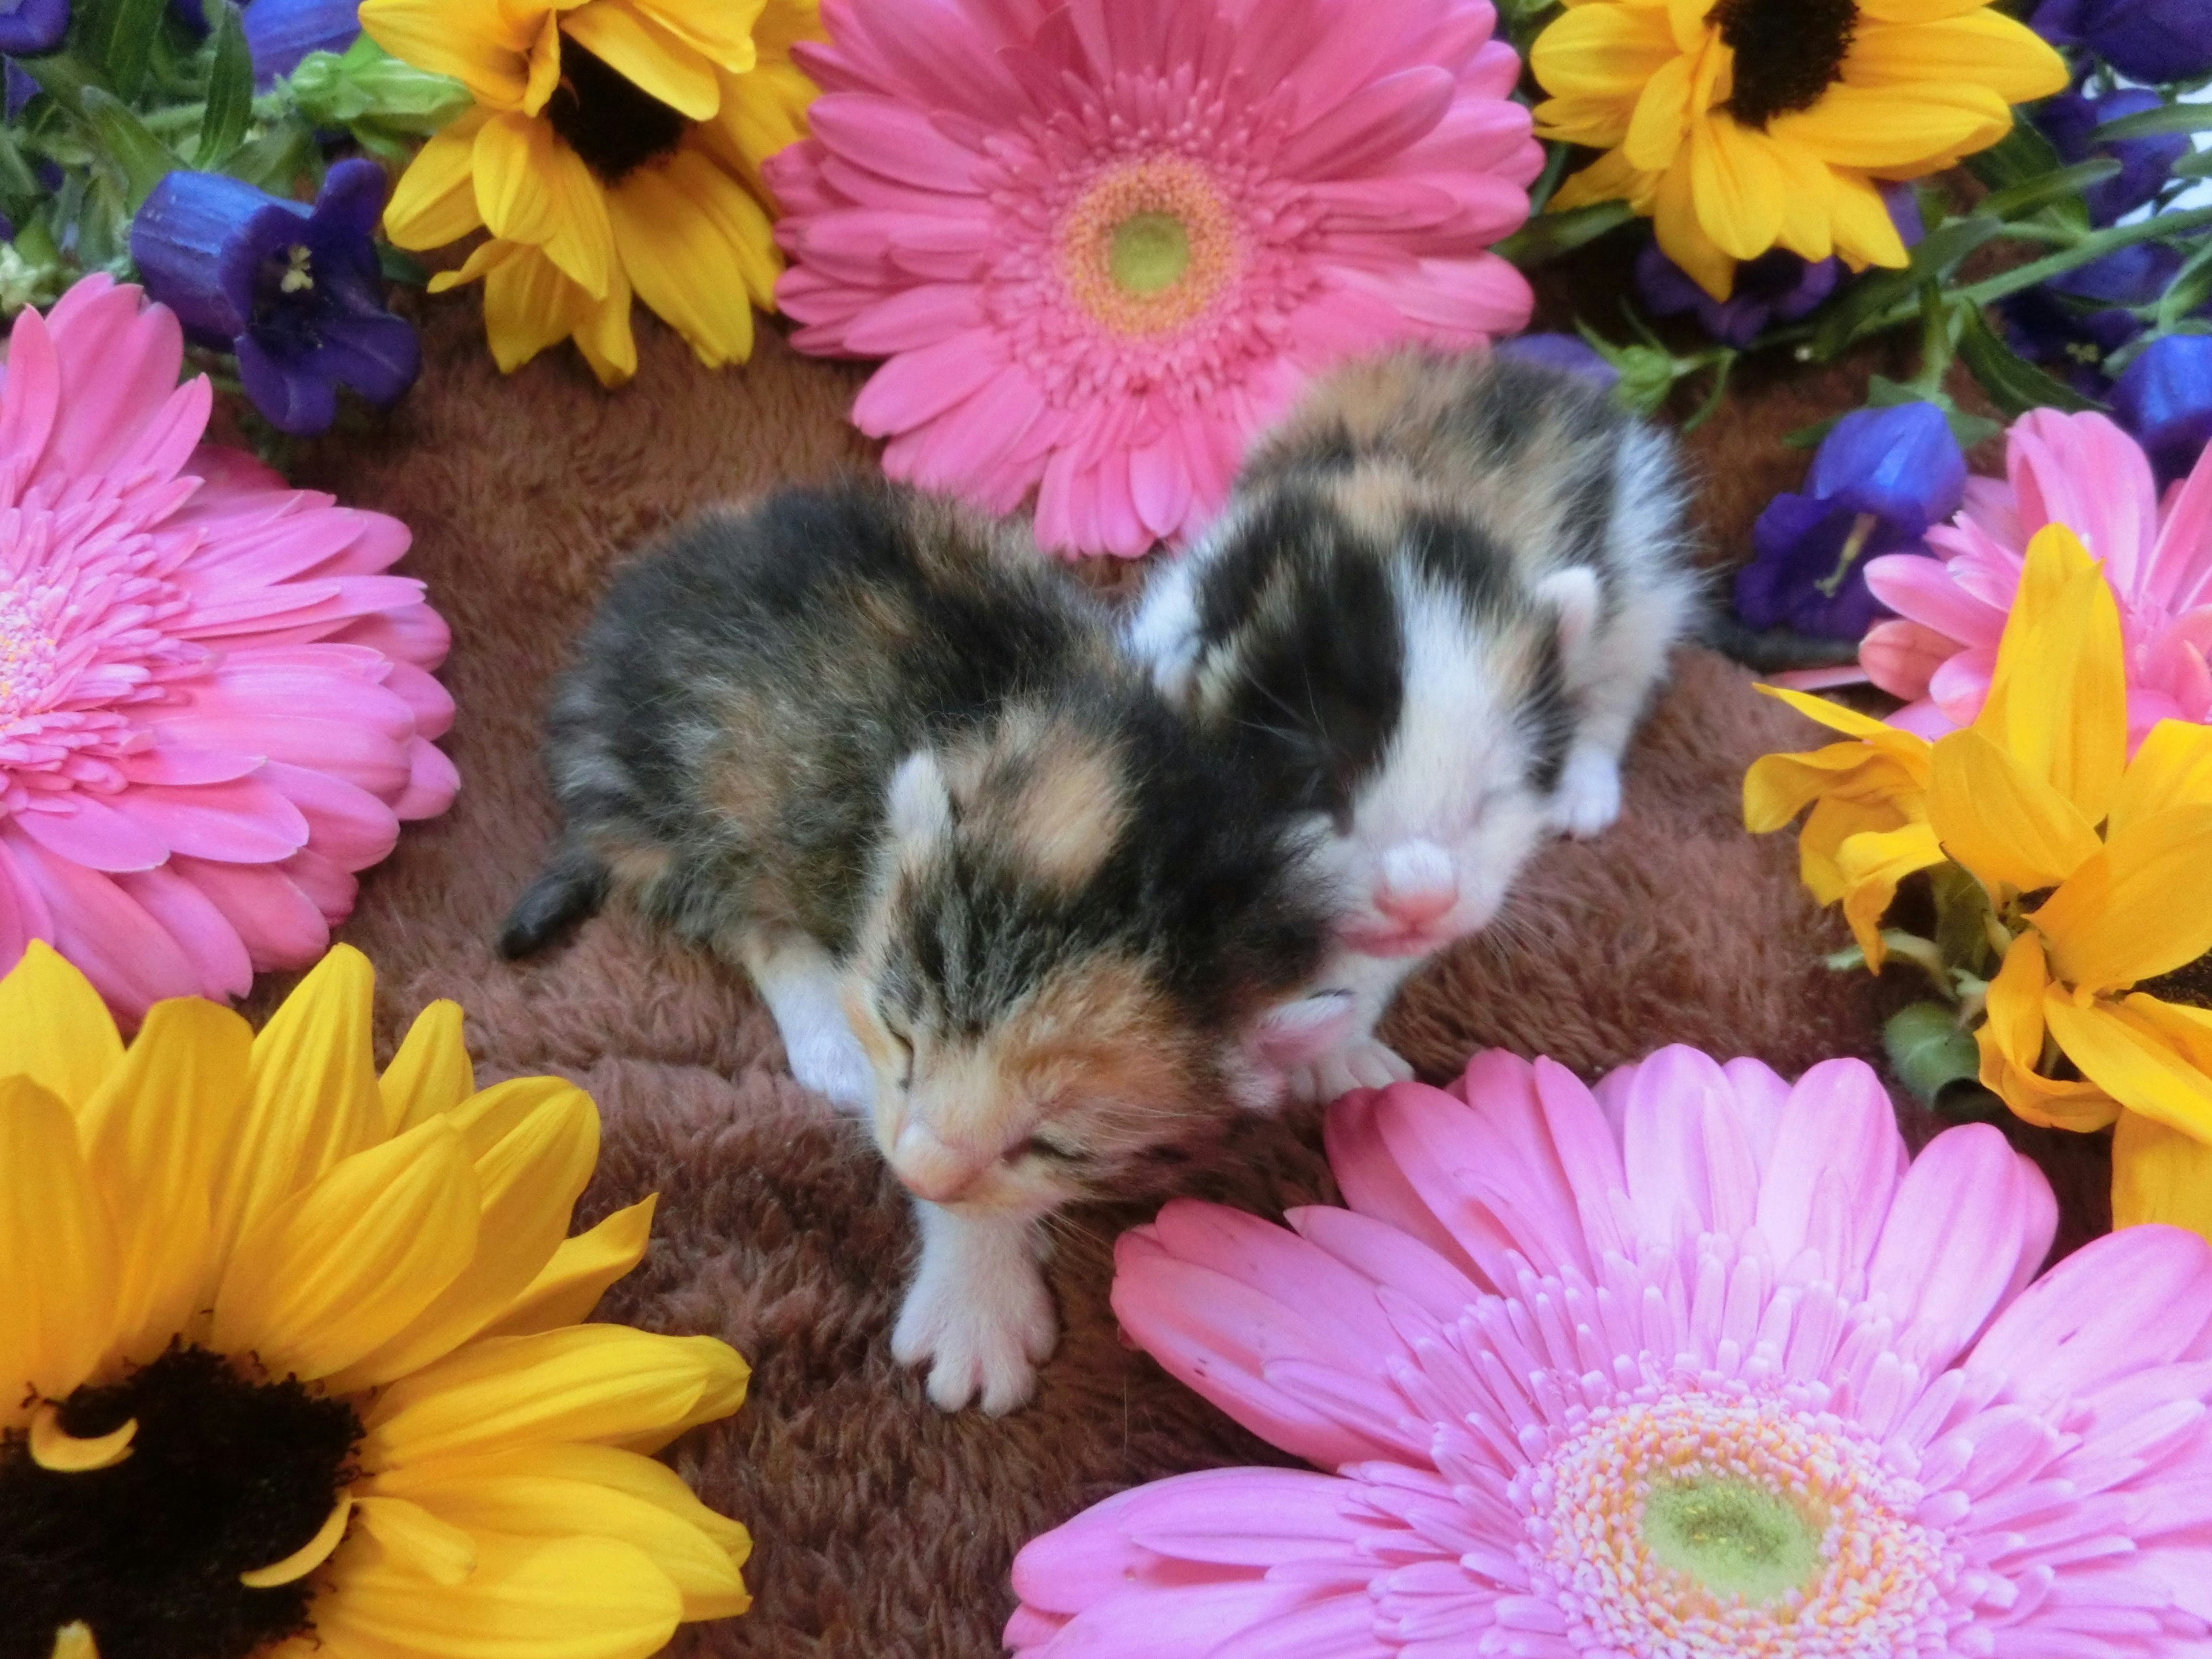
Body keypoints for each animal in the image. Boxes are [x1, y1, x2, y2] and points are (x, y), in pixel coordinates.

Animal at [504, 480, 1344, 1415]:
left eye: (1055, 1143)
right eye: (903, 1041)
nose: (914, 1175)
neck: (1054, 711)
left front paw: (1339, 1051)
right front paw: (976, 1303)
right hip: (683, 790)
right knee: (728, 896)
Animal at [1132, 351, 1699, 1106]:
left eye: (1488, 800)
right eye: (1320, 791)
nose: (1423, 899)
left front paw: (1331, 1051)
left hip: (1641, 562)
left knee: (1621, 678)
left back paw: (1586, 785)